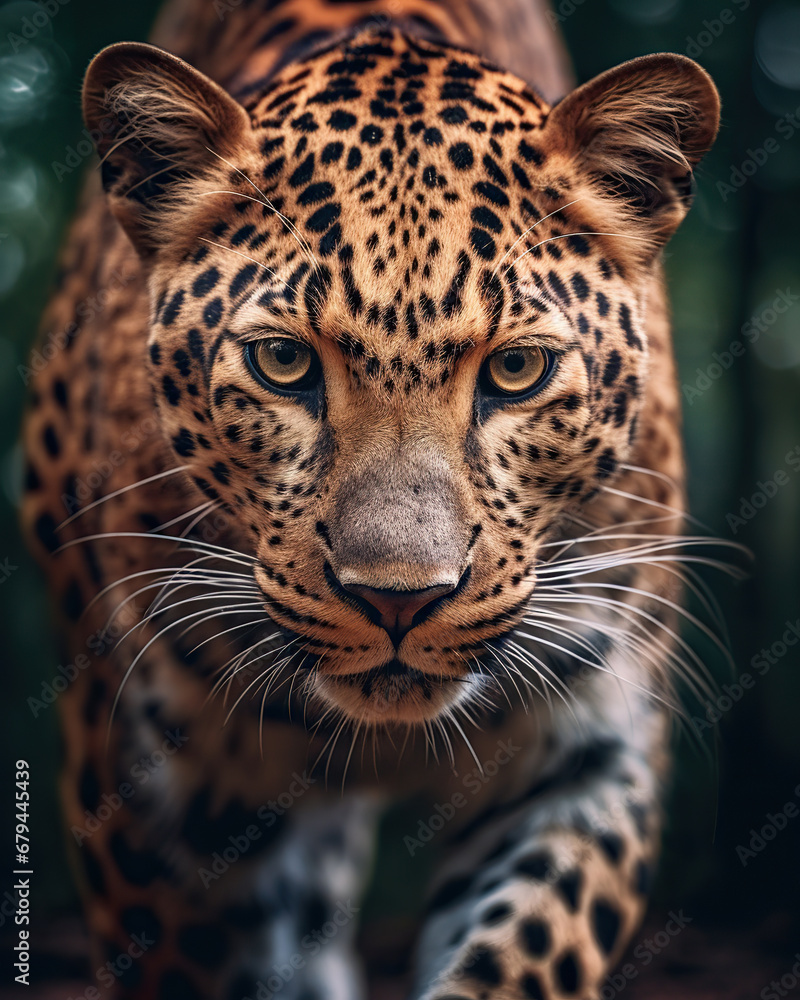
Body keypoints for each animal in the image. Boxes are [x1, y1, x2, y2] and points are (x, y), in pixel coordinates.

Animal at [20, 0, 722, 998]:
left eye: (517, 369)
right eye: (282, 362)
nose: (399, 601)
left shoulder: (588, 745)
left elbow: (526, 954)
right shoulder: (147, 792)